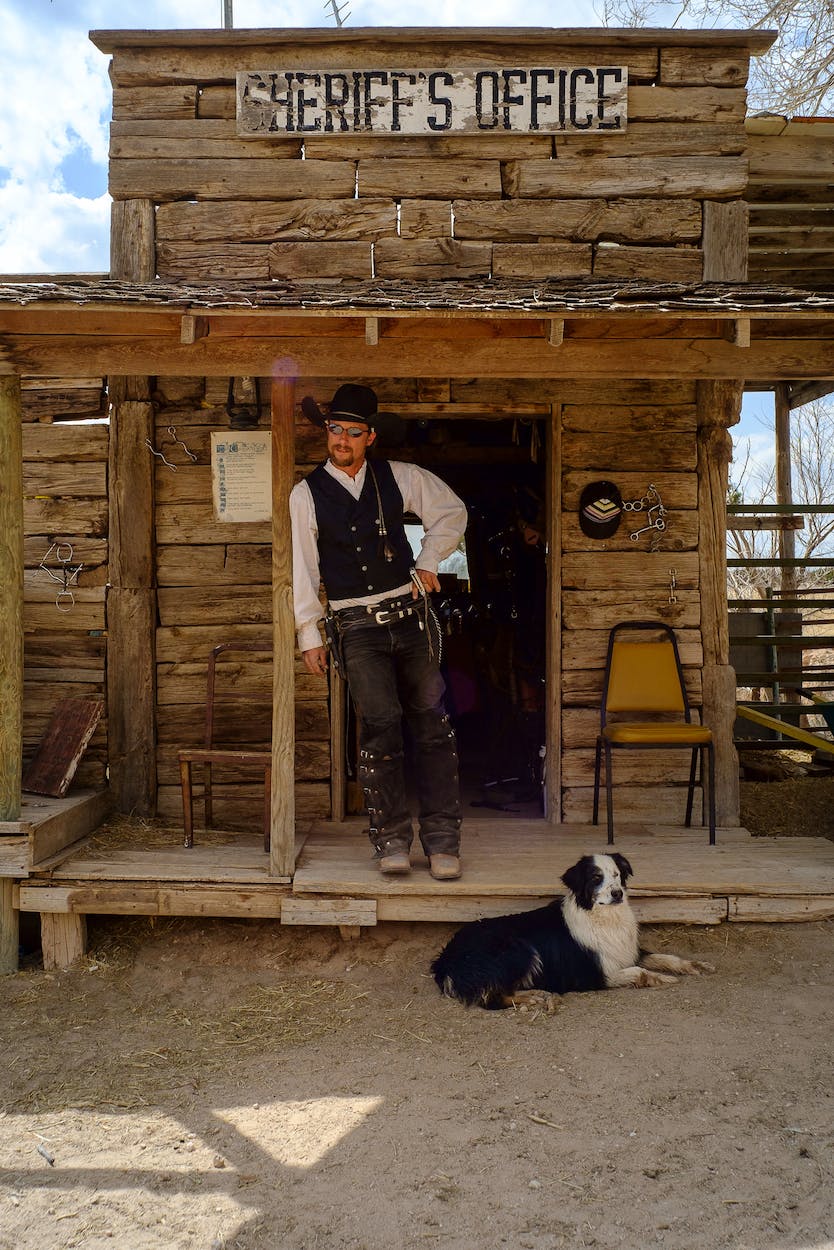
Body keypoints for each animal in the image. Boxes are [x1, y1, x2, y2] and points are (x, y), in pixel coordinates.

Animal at [435, 855, 715, 1010]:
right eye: (595, 878)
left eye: (616, 875)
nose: (617, 893)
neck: (602, 917)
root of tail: (446, 959)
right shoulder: (590, 974)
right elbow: (639, 971)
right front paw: (662, 979)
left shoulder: (628, 951)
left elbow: (666, 958)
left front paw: (695, 965)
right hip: (518, 949)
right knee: (491, 999)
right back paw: (534, 999)